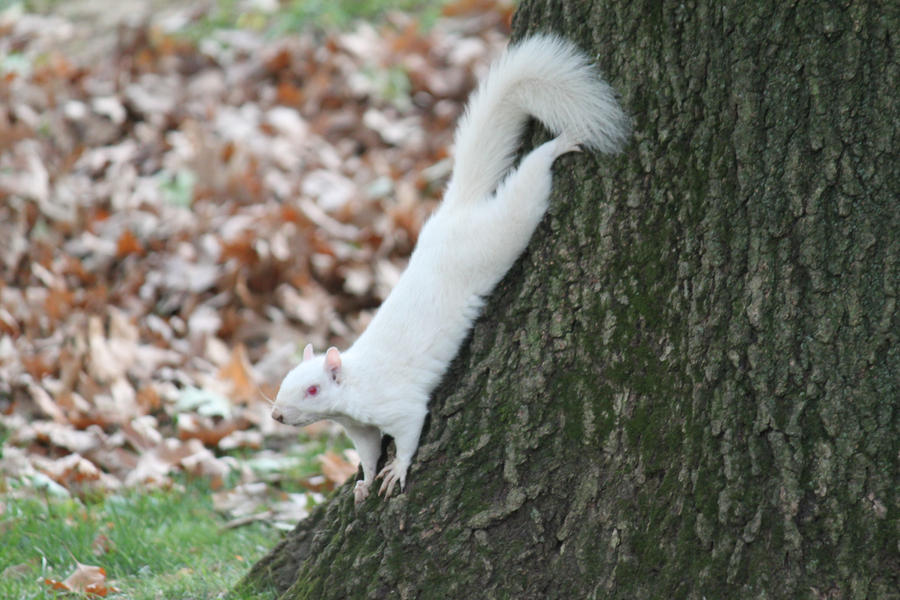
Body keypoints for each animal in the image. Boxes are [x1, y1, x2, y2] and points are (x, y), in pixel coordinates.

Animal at [270, 35, 628, 504]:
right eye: (285, 378)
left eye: (312, 389)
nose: (277, 414)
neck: (357, 383)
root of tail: (455, 213)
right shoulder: (360, 427)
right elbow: (368, 451)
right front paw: (365, 482)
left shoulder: (398, 404)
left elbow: (408, 433)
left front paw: (397, 471)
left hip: (502, 233)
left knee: (529, 184)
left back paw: (558, 146)